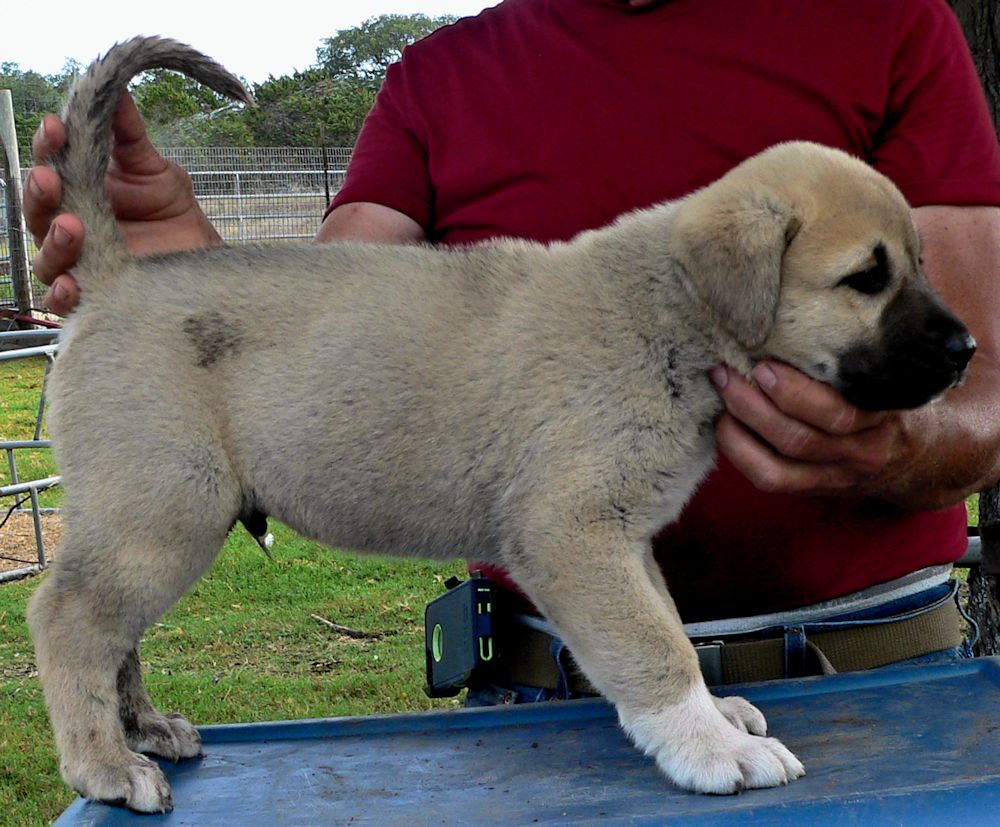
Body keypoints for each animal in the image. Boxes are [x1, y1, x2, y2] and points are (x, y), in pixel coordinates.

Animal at [27, 38, 972, 816]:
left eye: (920, 262)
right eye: (866, 278)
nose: (966, 349)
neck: (668, 309)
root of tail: (113, 280)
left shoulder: (621, 540)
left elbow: (662, 627)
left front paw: (716, 717)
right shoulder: (573, 533)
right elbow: (655, 648)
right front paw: (711, 747)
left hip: (149, 519)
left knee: (115, 633)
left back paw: (143, 730)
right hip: (164, 510)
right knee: (70, 618)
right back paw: (104, 765)